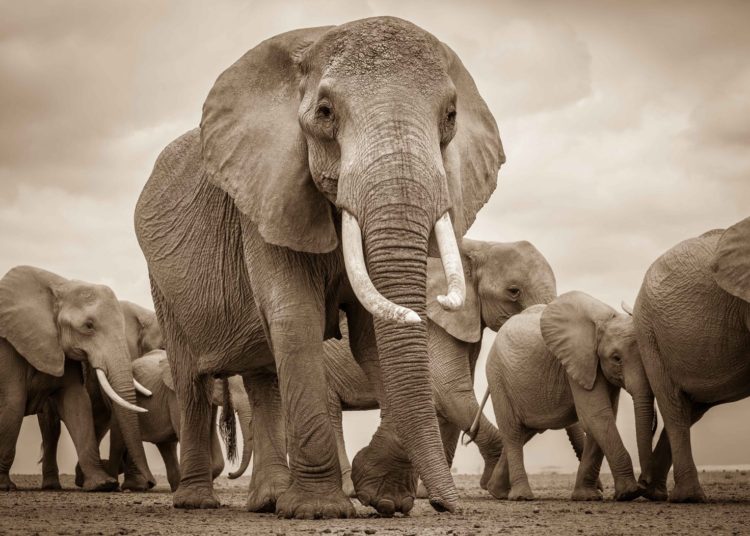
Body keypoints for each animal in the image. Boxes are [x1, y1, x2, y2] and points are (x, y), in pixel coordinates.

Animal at [37, 300, 163, 491]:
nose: (152, 482)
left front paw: (134, 484)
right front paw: (136, 485)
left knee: (99, 422)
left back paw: (83, 478)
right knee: (51, 426)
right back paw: (53, 485)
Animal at [106, 350, 253, 492]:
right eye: (224, 382)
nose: (230, 474)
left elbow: (211, 435)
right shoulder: (179, 395)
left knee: (166, 445)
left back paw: (175, 487)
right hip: (118, 404)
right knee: (118, 440)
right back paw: (115, 486)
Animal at [134, 16, 503, 517]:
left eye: (450, 117)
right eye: (325, 112)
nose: (451, 507)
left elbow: (372, 337)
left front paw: (382, 497)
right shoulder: (266, 200)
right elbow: (297, 316)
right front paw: (320, 510)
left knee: (264, 378)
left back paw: (268, 500)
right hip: (163, 285)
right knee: (191, 377)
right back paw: (197, 503)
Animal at [482, 291, 655, 501]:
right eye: (616, 358)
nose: (645, 483)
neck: (604, 321)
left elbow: (603, 417)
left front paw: (588, 497)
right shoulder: (577, 362)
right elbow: (596, 416)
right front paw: (629, 493)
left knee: (525, 432)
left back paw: (497, 491)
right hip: (498, 376)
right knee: (513, 432)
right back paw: (522, 497)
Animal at [634, 216, 750, 502]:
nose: (640, 482)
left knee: (689, 410)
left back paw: (655, 492)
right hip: (650, 335)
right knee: (674, 408)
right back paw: (687, 496)